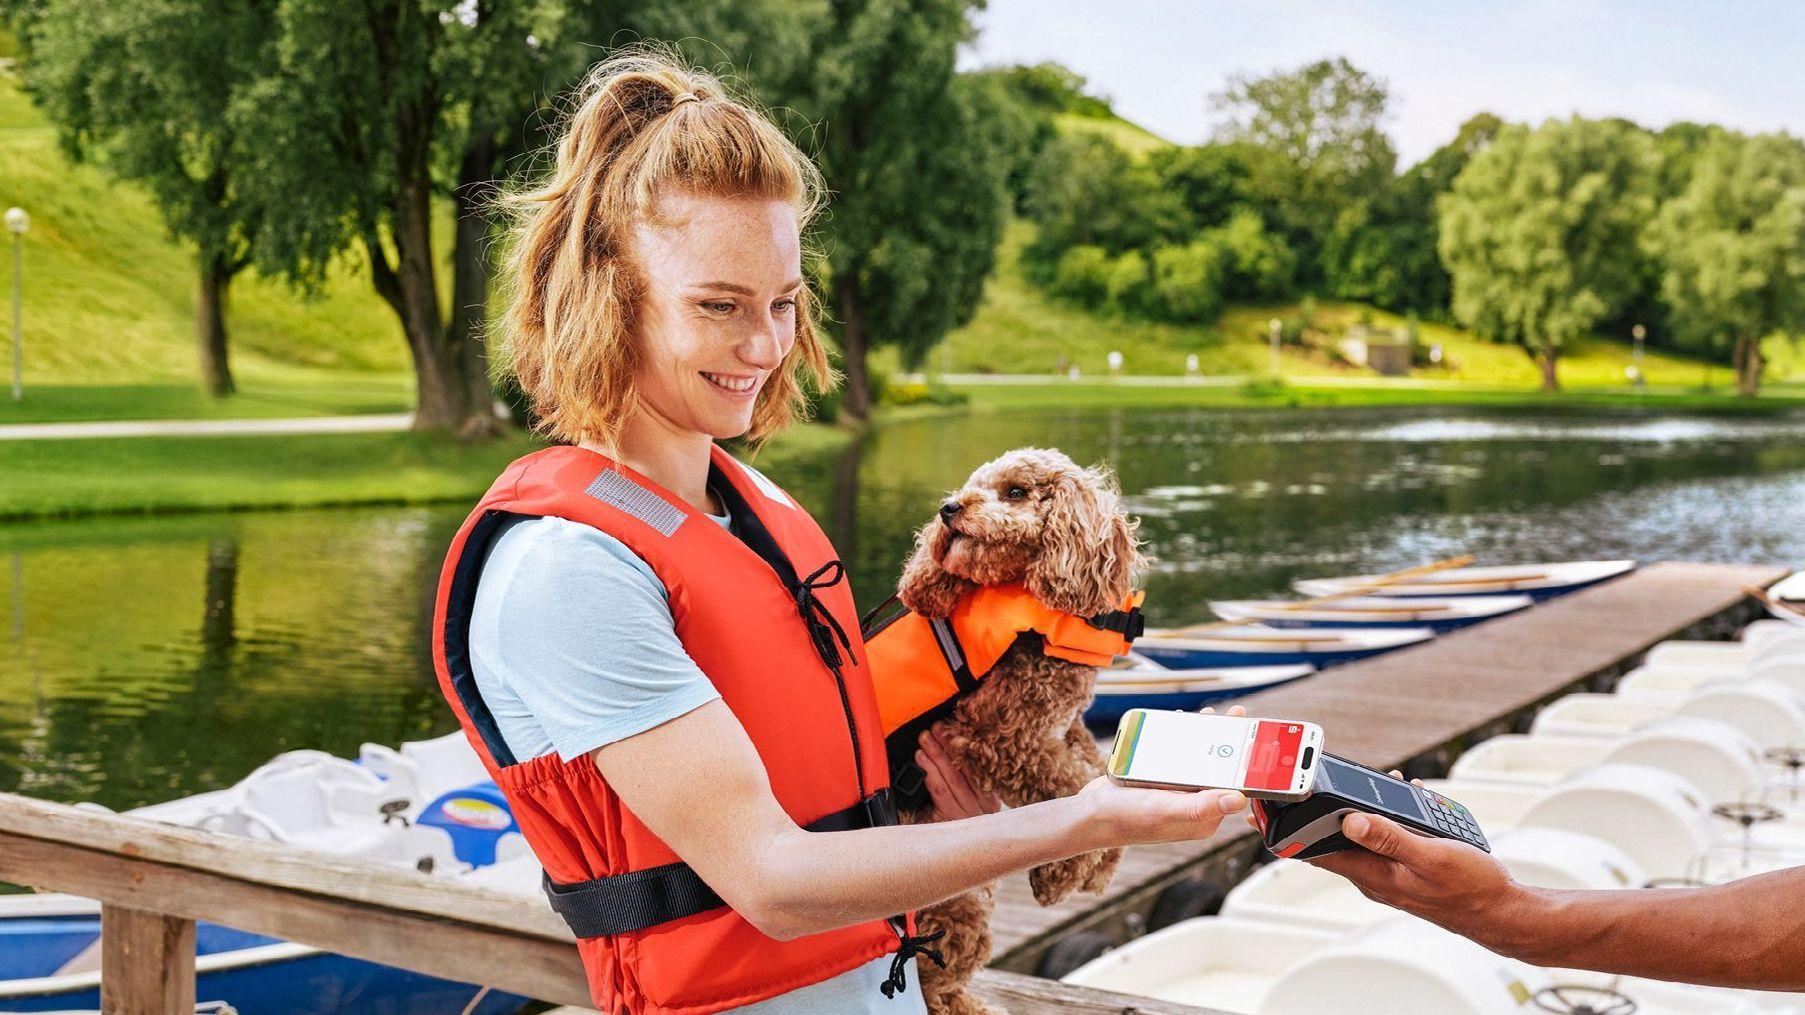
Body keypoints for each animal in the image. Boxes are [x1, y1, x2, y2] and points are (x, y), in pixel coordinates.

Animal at [895, 446, 1147, 1011]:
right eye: (973, 486)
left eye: (1015, 491)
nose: (949, 508)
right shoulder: (999, 735)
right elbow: (1070, 786)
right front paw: (1065, 873)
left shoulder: (1062, 724)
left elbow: (1091, 768)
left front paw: (1099, 866)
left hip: (964, 909)